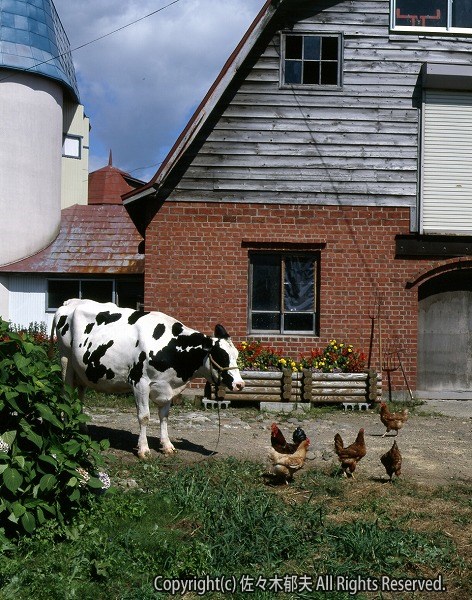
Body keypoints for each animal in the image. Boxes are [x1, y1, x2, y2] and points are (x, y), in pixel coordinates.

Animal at [50, 300, 245, 460]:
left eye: (236, 355)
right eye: (221, 356)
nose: (240, 384)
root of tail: (70, 302)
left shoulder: (167, 386)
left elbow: (164, 416)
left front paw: (167, 446)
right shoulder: (139, 382)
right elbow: (144, 417)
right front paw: (144, 449)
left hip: (82, 371)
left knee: (79, 396)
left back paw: (81, 427)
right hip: (66, 362)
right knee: (66, 396)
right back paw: (67, 430)